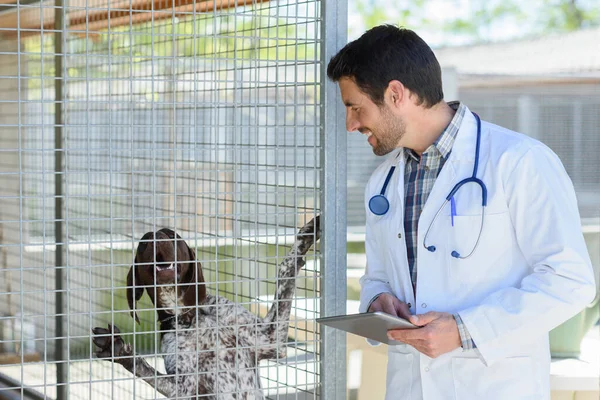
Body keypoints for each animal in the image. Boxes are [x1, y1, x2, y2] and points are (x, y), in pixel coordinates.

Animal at [92, 217, 322, 398]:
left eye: (171, 235)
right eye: (143, 243)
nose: (154, 239)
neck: (188, 317)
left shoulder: (270, 338)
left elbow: (286, 267)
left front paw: (306, 235)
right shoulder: (182, 386)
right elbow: (146, 369)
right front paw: (118, 350)